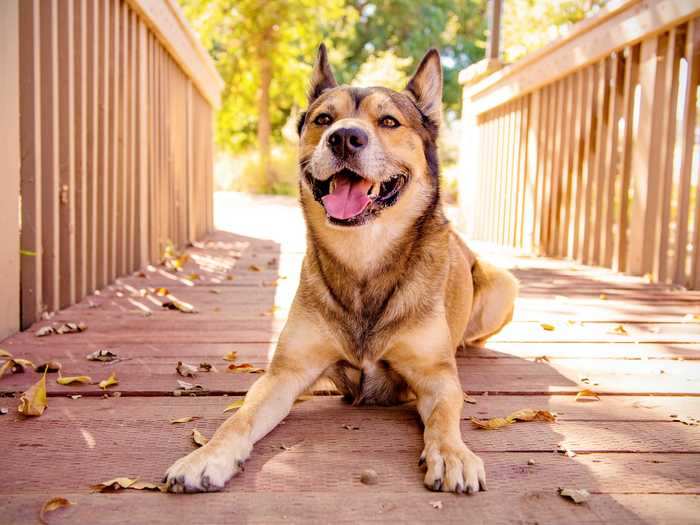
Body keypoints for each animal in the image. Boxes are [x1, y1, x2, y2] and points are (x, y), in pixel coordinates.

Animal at [163, 43, 516, 494]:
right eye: (323, 119)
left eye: (389, 121)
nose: (345, 137)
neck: (363, 258)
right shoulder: (284, 375)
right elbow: (239, 418)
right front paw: (207, 456)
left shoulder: (437, 377)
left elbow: (443, 418)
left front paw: (453, 454)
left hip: (504, 284)